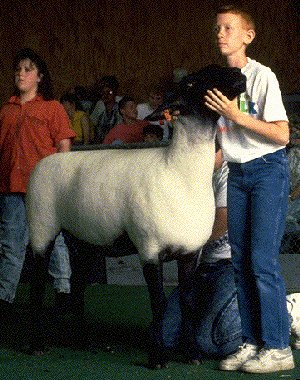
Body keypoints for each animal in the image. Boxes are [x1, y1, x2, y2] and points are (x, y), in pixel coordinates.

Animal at [25, 64, 246, 368]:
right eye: (190, 84)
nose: (239, 75)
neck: (178, 172)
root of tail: (44, 162)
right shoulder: (148, 248)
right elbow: (158, 303)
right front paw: (158, 358)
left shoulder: (190, 252)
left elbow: (187, 302)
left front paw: (192, 355)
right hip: (42, 228)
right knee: (36, 287)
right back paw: (36, 345)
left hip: (85, 240)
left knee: (78, 288)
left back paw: (82, 341)